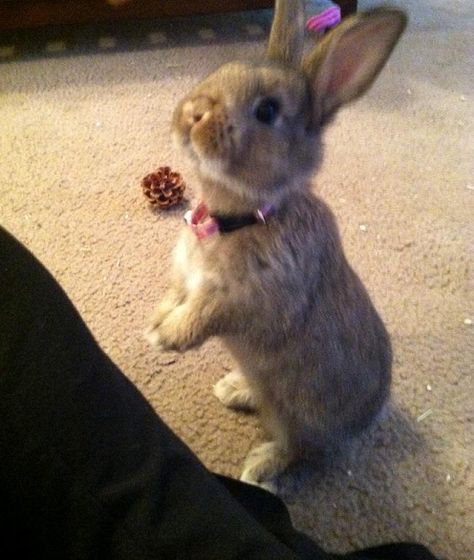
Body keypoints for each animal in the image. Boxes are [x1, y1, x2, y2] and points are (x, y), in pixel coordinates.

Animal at [145, 1, 408, 490]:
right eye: (222, 70)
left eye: (267, 111)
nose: (193, 113)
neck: (240, 217)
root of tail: (366, 421)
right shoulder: (185, 279)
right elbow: (176, 296)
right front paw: (156, 321)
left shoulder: (250, 300)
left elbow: (207, 314)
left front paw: (166, 336)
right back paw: (234, 389)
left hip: (297, 417)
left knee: (297, 450)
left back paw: (259, 466)